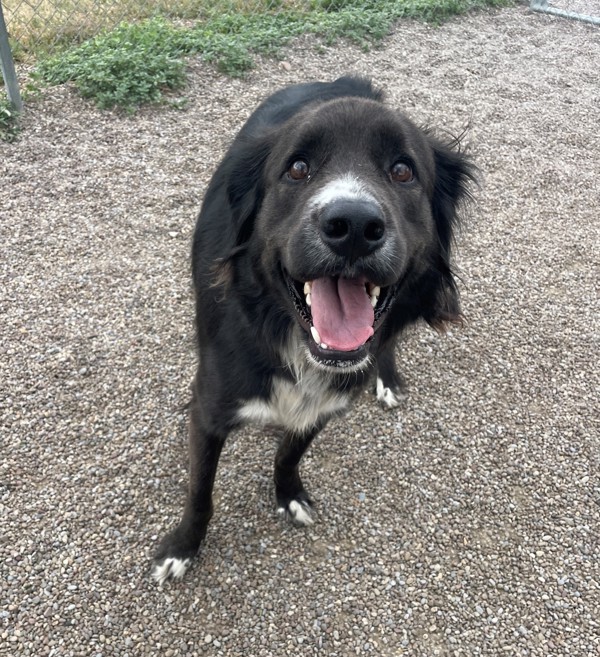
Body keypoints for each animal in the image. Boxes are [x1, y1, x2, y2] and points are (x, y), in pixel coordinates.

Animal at [152, 77, 476, 584]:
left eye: (403, 171)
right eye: (298, 168)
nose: (354, 226)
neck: (286, 337)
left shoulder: (325, 403)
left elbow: (289, 453)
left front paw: (288, 495)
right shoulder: (207, 409)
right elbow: (200, 491)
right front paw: (182, 547)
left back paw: (387, 378)